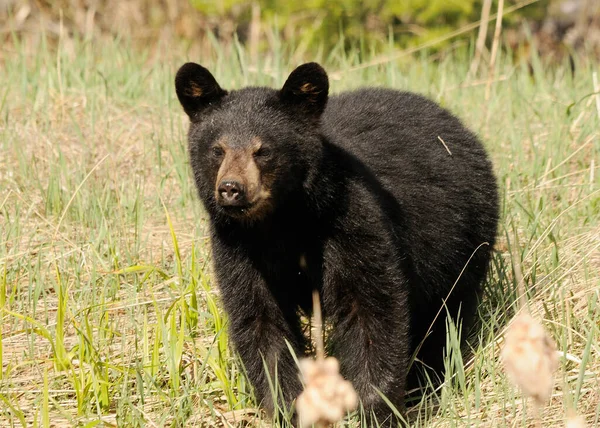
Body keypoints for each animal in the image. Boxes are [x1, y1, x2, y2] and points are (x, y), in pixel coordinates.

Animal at [176, 61, 500, 424]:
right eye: (217, 150)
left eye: (264, 151)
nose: (231, 189)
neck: (282, 222)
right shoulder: (237, 247)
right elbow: (260, 320)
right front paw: (289, 407)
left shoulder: (351, 223)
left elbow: (372, 310)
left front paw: (378, 411)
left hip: (464, 239)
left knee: (447, 314)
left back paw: (427, 379)